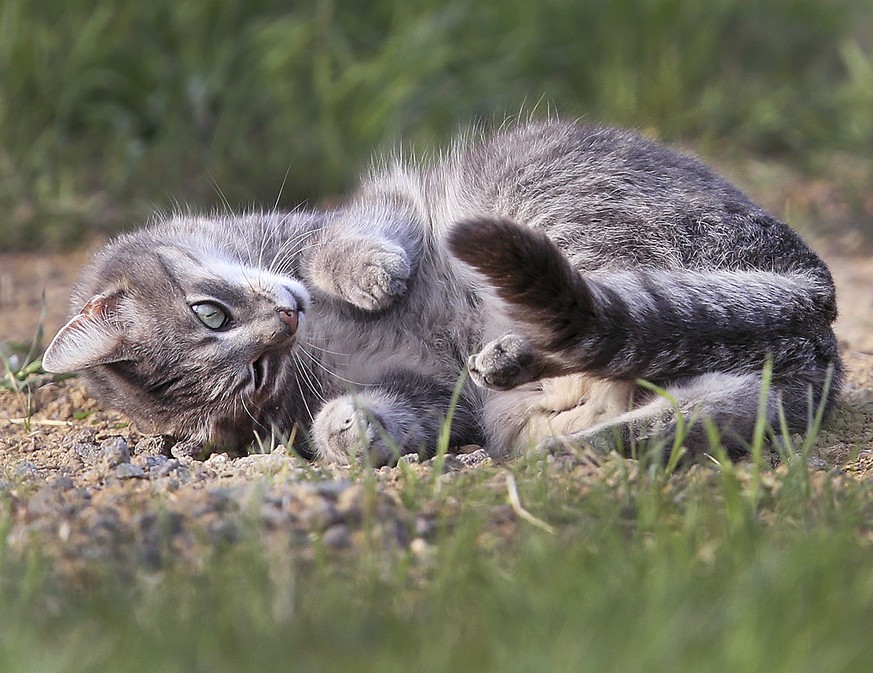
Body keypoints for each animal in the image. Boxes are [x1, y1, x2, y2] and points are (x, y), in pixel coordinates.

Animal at [41, 119, 836, 462]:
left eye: (209, 312)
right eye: (254, 375)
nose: (288, 319)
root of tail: (817, 300)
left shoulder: (377, 212)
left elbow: (343, 242)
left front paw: (369, 277)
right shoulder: (437, 397)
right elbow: (381, 418)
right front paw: (347, 428)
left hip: (541, 210)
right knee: (666, 392)